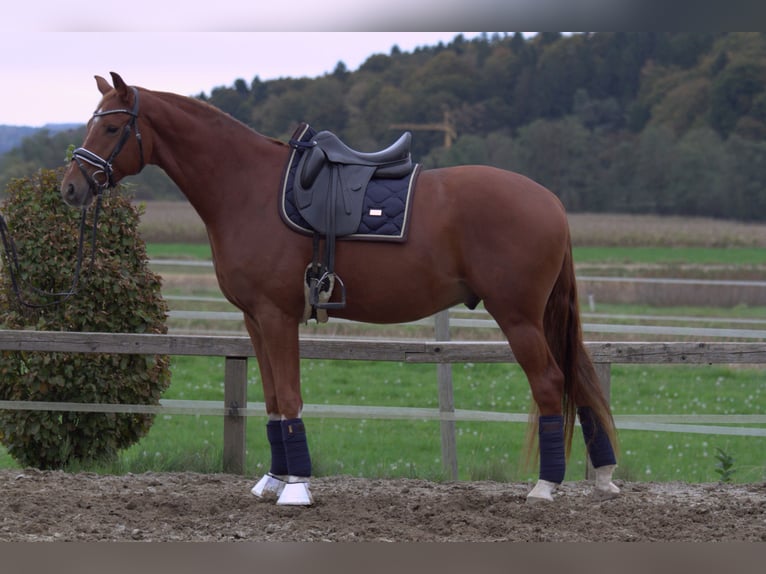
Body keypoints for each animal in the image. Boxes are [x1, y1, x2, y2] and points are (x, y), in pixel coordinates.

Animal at [61, 73, 624, 508]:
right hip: (543, 316)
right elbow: (271, 399)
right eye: (92, 121)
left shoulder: (276, 316)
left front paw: (297, 487)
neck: (247, 188)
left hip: (519, 316)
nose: (70, 187)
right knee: (578, 378)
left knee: (550, 382)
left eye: (112, 125)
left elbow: (290, 396)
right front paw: (275, 478)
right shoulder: (254, 319)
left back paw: (545, 487)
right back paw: (602, 476)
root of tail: (550, 201)